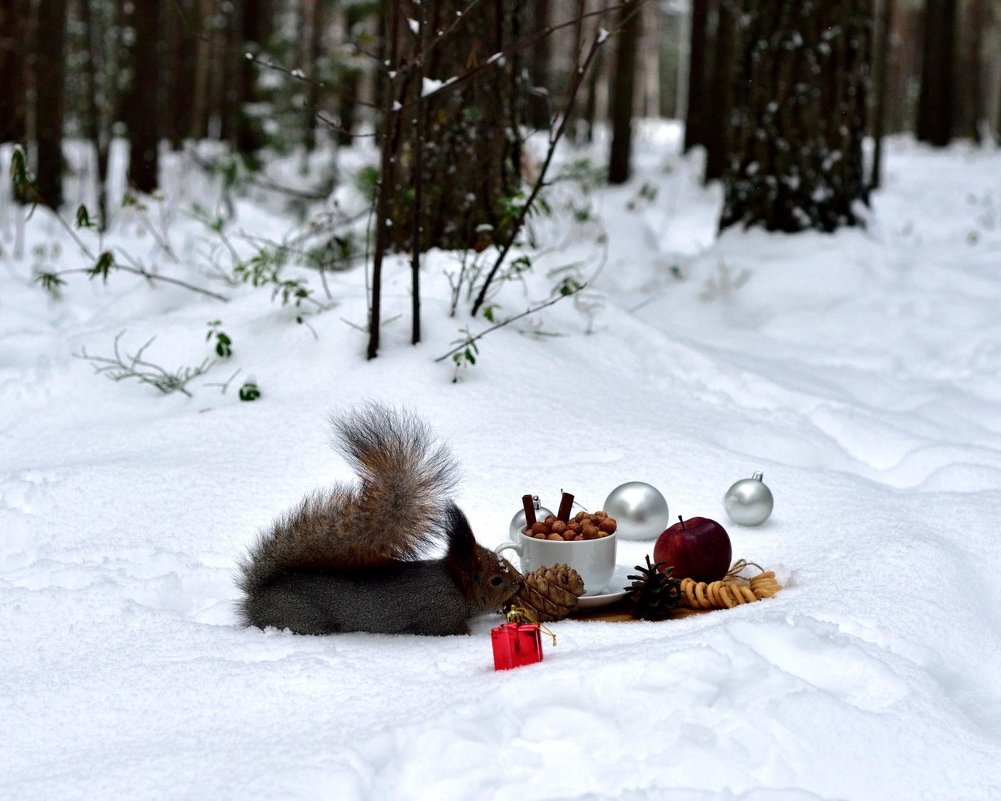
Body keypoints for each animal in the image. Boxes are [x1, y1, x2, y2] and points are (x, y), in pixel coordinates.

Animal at [236, 404, 524, 636]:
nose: (520, 582)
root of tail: (256, 598)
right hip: (303, 618)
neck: (455, 585)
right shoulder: (439, 612)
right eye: (495, 580)